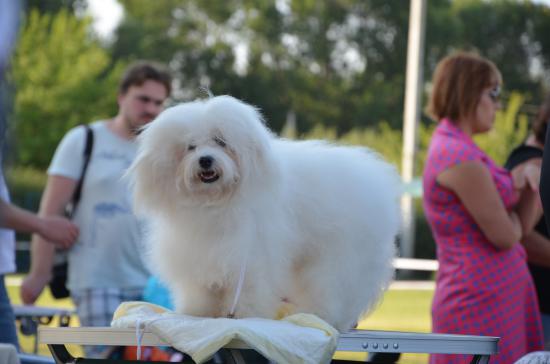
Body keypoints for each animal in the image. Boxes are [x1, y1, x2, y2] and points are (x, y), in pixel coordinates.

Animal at [130, 95, 406, 332]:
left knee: (335, 286)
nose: (205, 160)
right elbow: (200, 290)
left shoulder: (251, 256)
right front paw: (198, 312)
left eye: (221, 142)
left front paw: (244, 314)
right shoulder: (199, 255)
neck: (216, 204)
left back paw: (324, 315)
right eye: (190, 147)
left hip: (340, 256)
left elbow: (250, 288)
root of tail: (376, 177)